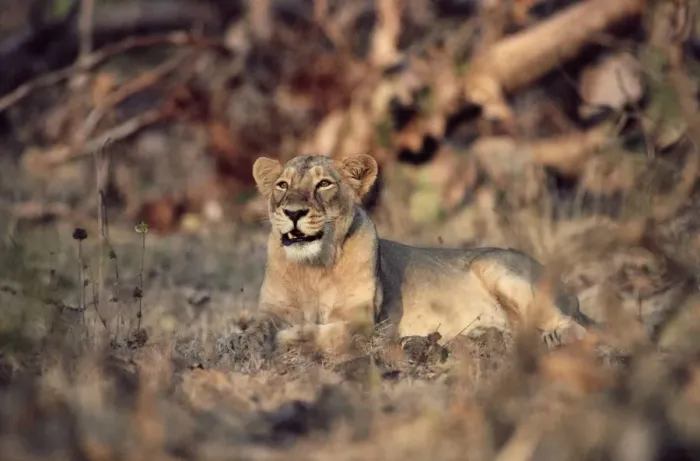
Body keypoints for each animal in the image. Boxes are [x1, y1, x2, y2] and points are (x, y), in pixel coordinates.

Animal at [251, 153, 595, 356]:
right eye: (282, 185)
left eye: (323, 184)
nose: (293, 212)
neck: (314, 268)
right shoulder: (272, 309)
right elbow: (259, 327)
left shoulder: (363, 322)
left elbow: (326, 335)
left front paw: (288, 338)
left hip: (496, 267)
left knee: (580, 329)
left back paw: (552, 340)